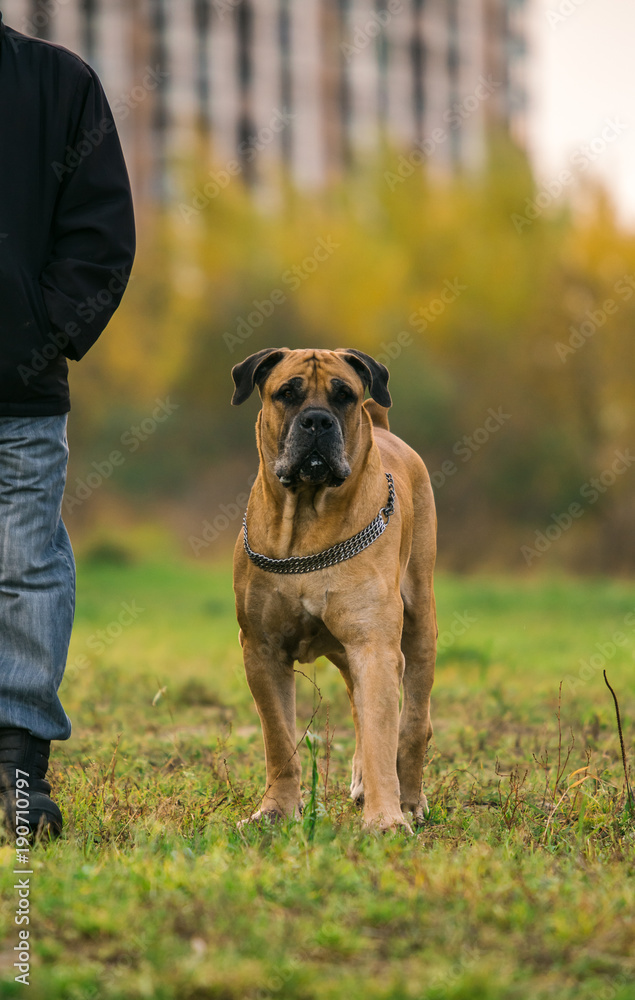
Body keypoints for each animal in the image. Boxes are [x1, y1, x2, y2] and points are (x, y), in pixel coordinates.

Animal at [232, 348, 438, 832]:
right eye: (287, 393)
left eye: (344, 395)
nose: (317, 421)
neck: (308, 518)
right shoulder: (261, 651)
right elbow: (279, 740)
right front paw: (276, 811)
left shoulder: (373, 644)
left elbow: (384, 733)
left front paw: (386, 819)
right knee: (360, 711)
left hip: (419, 623)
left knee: (413, 721)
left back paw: (410, 799)